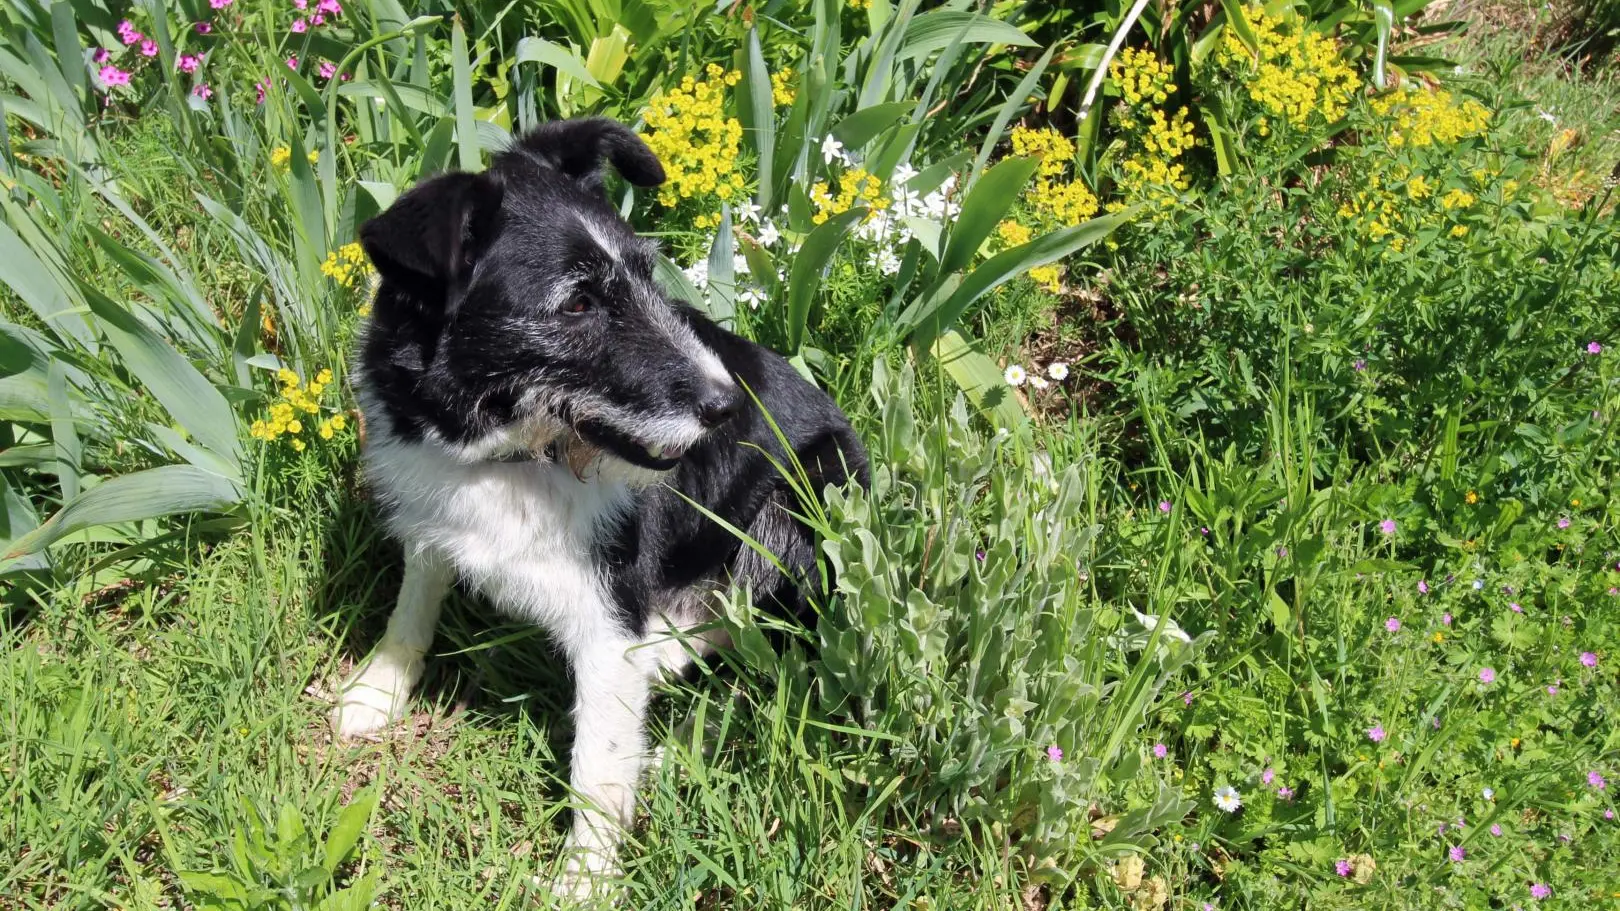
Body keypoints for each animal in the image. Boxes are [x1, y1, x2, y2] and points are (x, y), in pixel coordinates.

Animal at [332, 115, 874, 894]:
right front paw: (379, 690)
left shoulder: (611, 617)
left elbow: (596, 763)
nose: (728, 405)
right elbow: (412, 605)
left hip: (803, 513)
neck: (514, 459)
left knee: (768, 657)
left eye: (649, 277)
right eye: (578, 303)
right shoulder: (430, 513)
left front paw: (585, 879)